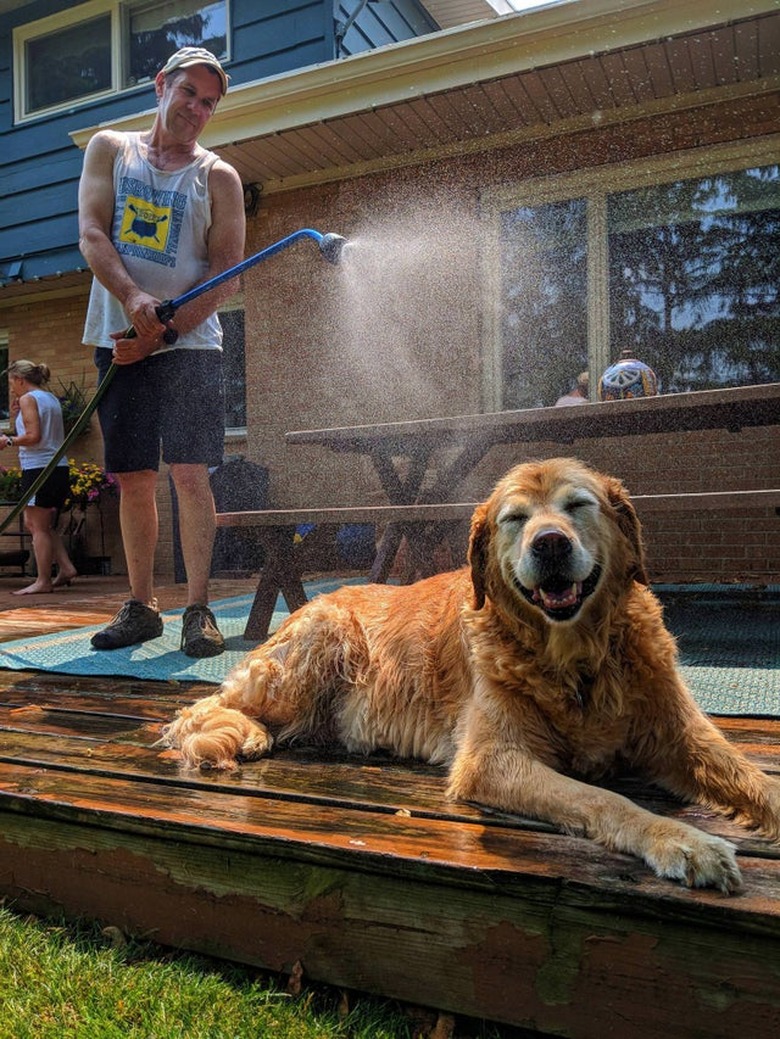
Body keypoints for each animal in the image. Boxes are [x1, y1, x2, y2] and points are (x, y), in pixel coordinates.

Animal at [162, 461, 776, 893]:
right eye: (515, 518)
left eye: (578, 505)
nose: (550, 543)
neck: (576, 656)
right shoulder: (491, 759)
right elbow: (606, 800)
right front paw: (684, 841)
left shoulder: (681, 734)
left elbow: (751, 776)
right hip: (323, 640)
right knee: (200, 709)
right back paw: (245, 733)